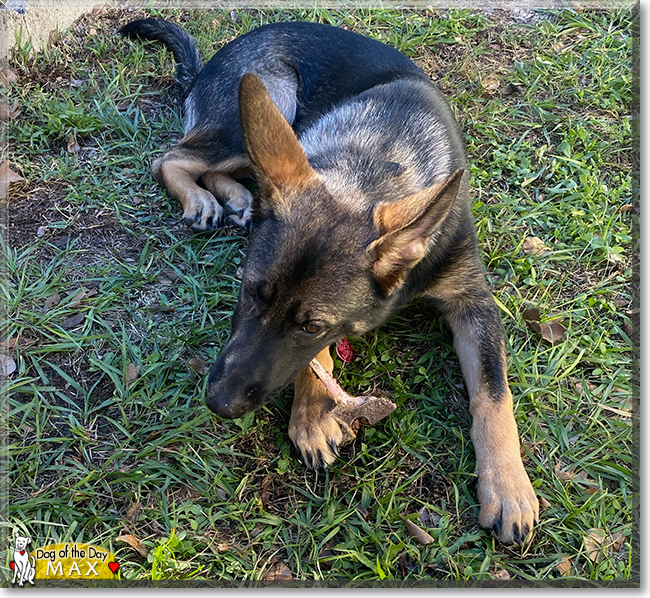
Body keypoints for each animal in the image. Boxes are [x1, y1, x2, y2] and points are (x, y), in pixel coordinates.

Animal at [120, 18, 536, 548]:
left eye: (311, 325)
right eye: (250, 291)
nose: (218, 403)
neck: (373, 162)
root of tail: (216, 59)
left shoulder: (473, 301)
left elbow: (493, 393)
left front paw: (507, 486)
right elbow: (313, 365)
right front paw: (313, 413)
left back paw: (237, 197)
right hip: (267, 103)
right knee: (171, 158)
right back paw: (204, 199)